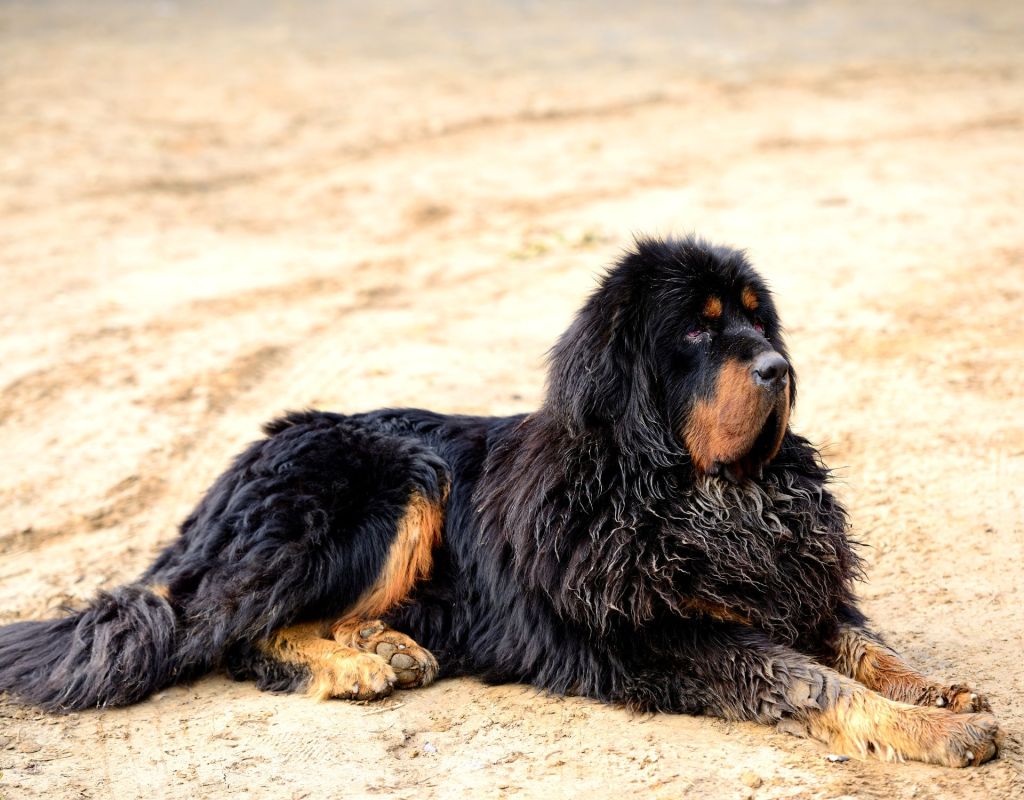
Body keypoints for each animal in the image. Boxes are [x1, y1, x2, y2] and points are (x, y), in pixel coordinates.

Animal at [0, 234, 999, 766]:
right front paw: (931, 731)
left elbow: (864, 645)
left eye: (759, 318)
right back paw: (356, 666)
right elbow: (810, 678)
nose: (779, 368)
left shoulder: (789, 587)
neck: (695, 494)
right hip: (393, 479)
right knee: (233, 635)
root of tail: (231, 473)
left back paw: (383, 645)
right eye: (698, 331)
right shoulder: (664, 636)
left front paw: (938, 692)